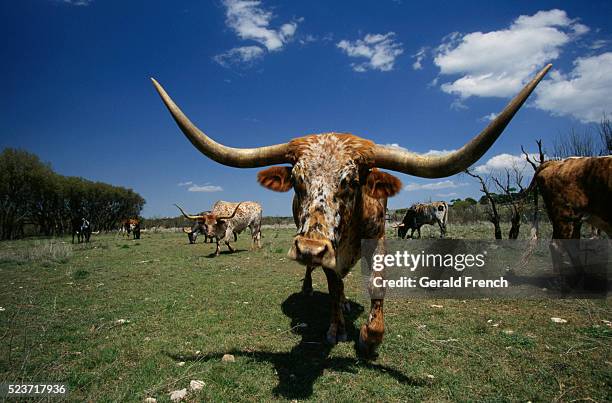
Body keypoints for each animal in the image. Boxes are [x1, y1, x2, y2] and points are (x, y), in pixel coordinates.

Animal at [152, 63, 548, 356]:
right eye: (297, 180)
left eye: (352, 180)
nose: (309, 248)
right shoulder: (329, 254)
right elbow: (332, 284)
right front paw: (336, 328)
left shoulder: (380, 239)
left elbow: (376, 286)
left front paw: (370, 336)